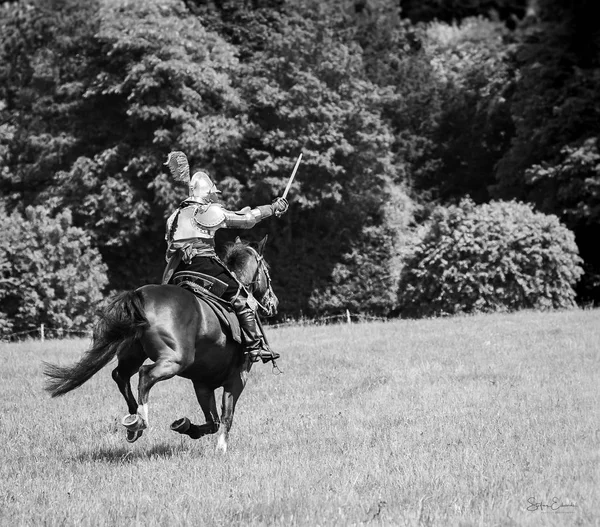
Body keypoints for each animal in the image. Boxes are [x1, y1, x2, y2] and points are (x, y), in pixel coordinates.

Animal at [43, 236, 278, 454]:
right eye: (267, 269)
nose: (273, 303)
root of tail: (140, 296)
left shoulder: (202, 383)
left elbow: (213, 422)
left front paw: (185, 426)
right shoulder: (237, 378)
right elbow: (226, 417)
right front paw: (220, 449)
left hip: (134, 353)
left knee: (120, 375)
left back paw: (134, 421)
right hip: (175, 360)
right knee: (145, 374)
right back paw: (141, 419)